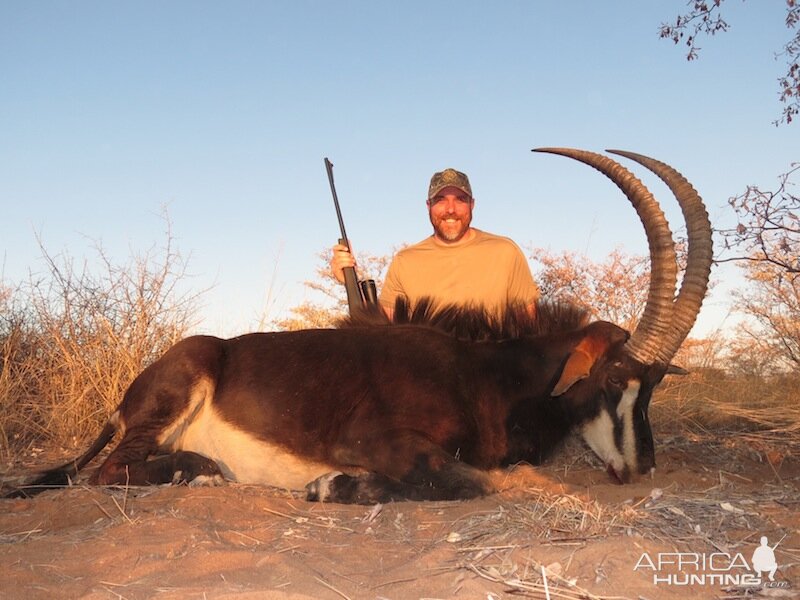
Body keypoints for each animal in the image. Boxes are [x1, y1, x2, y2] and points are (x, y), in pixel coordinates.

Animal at [4, 149, 712, 502]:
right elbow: (473, 481)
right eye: (614, 379)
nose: (643, 468)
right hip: (179, 386)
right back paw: (198, 469)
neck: (484, 375)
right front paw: (331, 484)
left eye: (652, 387)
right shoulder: (374, 441)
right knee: (105, 473)